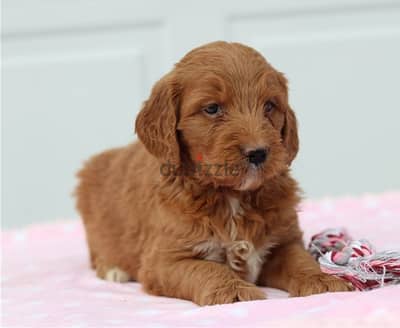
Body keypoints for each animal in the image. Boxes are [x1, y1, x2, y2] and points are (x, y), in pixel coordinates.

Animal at [76, 41, 352, 304]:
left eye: (269, 106)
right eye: (212, 109)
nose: (258, 152)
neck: (232, 196)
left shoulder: (284, 240)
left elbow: (300, 259)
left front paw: (321, 280)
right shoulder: (164, 260)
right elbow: (207, 270)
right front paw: (234, 290)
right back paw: (113, 269)